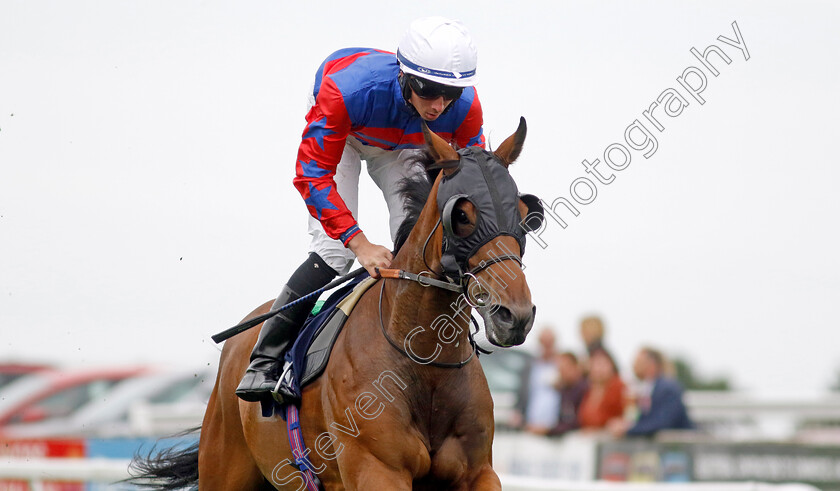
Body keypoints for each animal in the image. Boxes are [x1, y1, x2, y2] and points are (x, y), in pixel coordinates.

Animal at [131, 120, 540, 491]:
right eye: (462, 215)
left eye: (524, 215)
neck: (423, 360)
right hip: (225, 468)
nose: (514, 315)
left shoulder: (478, 473)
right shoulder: (378, 471)